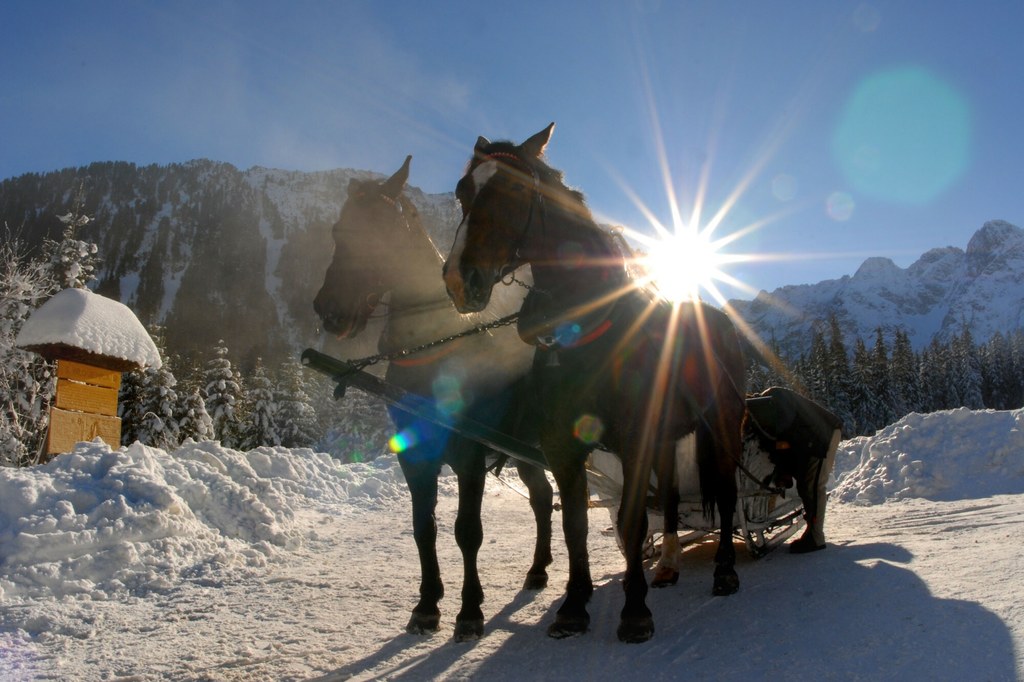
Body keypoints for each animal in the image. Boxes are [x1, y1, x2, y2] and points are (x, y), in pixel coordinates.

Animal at [315, 155, 552, 638]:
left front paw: (470, 610)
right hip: (524, 450)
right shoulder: (415, 456)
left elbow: (468, 531)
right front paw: (427, 605)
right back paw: (538, 570)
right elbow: (423, 527)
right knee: (542, 498)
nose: (328, 310)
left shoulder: (469, 458)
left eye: (378, 231)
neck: (434, 350)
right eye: (338, 229)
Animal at [440, 127, 745, 643]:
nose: (460, 279)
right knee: (669, 497)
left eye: (513, 190)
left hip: (723, 426)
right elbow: (576, 524)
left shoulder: (634, 441)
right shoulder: (562, 447)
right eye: (463, 192)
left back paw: (724, 569)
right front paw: (574, 605)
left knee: (724, 494)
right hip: (669, 437)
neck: (585, 333)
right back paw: (667, 567)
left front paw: (634, 611)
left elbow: (630, 519)